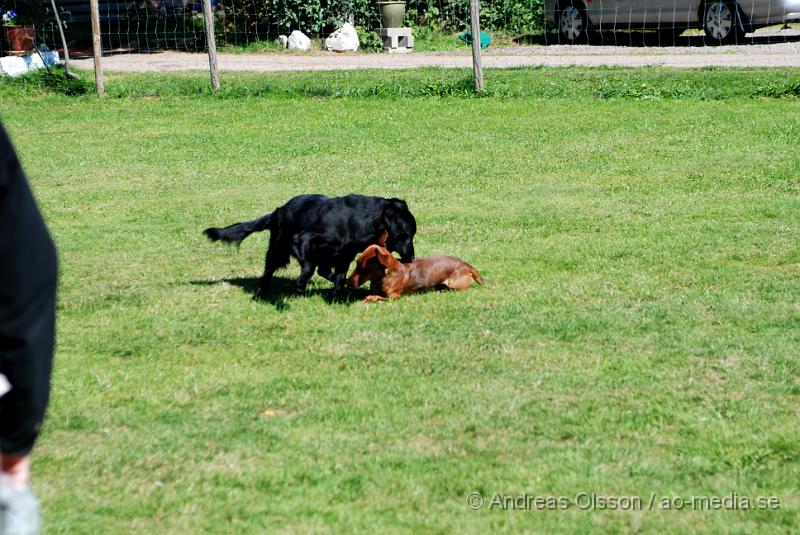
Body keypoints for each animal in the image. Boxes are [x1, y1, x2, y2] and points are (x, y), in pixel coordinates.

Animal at [205, 194, 418, 302]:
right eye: (406, 235)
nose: (411, 258)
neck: (355, 220)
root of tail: (276, 212)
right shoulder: (302, 241)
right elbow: (308, 267)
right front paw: (301, 285)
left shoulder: (344, 256)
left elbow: (338, 277)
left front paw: (338, 297)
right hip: (278, 251)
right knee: (268, 273)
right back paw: (259, 294)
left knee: (323, 270)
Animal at [348, 244, 484, 302]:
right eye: (356, 263)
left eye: (364, 269)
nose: (347, 282)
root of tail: (467, 265)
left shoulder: (394, 296)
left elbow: (380, 297)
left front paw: (370, 298)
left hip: (453, 284)